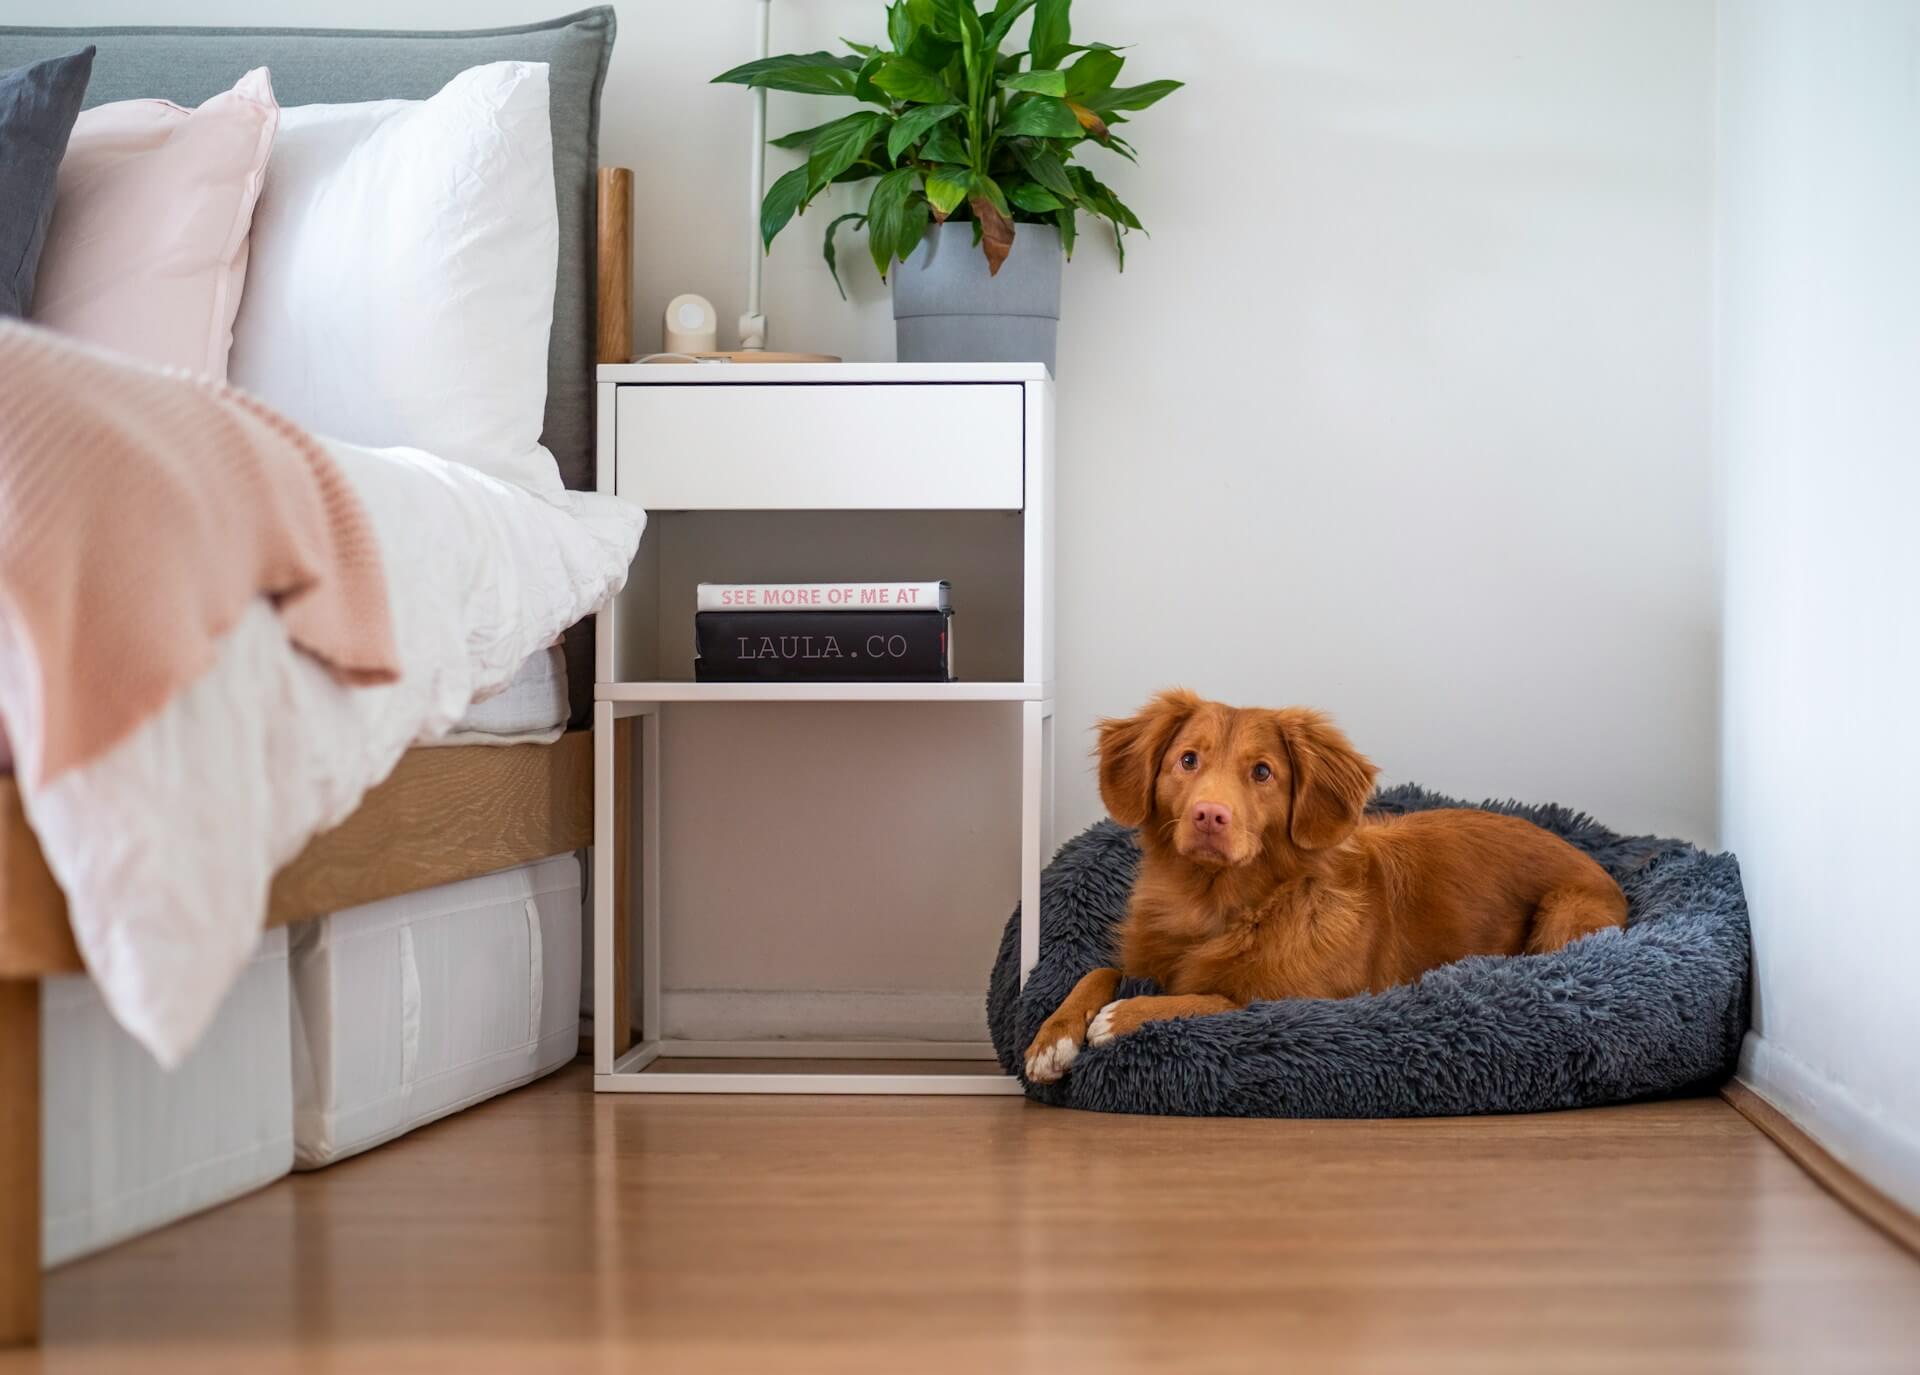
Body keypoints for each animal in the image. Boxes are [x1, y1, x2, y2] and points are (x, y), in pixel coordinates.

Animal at [1029, 687, 1628, 1083]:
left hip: (1562, 915)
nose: (1209, 816)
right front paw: (1051, 1038)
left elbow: (1216, 999)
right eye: (1188, 760)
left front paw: (1122, 1017)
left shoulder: (1298, 1002)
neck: (1216, 903)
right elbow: (1098, 970)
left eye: (1263, 772)